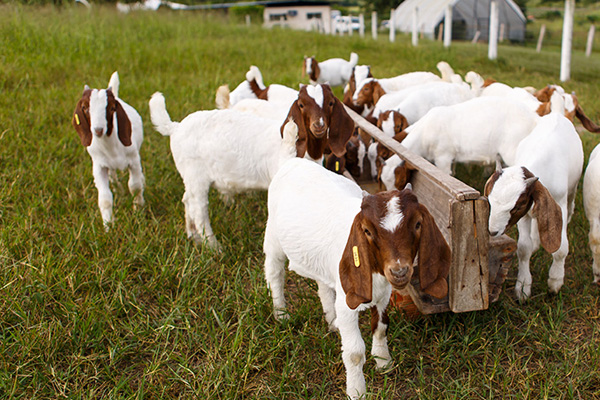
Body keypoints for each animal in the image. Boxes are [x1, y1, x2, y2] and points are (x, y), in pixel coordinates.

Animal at [70, 70, 144, 230]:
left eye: (111, 108)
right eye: (85, 108)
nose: (98, 130)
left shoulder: (134, 159)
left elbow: (135, 186)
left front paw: (139, 210)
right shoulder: (99, 166)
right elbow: (104, 198)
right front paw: (108, 226)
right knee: (112, 175)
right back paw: (118, 190)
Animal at [262, 157, 450, 400]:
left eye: (418, 224)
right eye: (367, 231)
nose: (399, 271)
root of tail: (293, 160)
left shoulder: (384, 294)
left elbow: (381, 328)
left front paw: (383, 363)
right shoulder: (347, 301)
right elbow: (354, 353)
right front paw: (357, 391)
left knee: (323, 286)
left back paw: (331, 322)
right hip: (273, 236)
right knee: (274, 271)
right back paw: (281, 314)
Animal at [486, 93, 584, 300]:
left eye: (516, 205)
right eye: (490, 202)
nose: (492, 231)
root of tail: (557, 114)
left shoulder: (556, 205)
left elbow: (561, 248)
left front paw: (555, 281)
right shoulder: (526, 214)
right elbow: (524, 248)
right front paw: (523, 287)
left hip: (573, 186)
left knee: (571, 201)